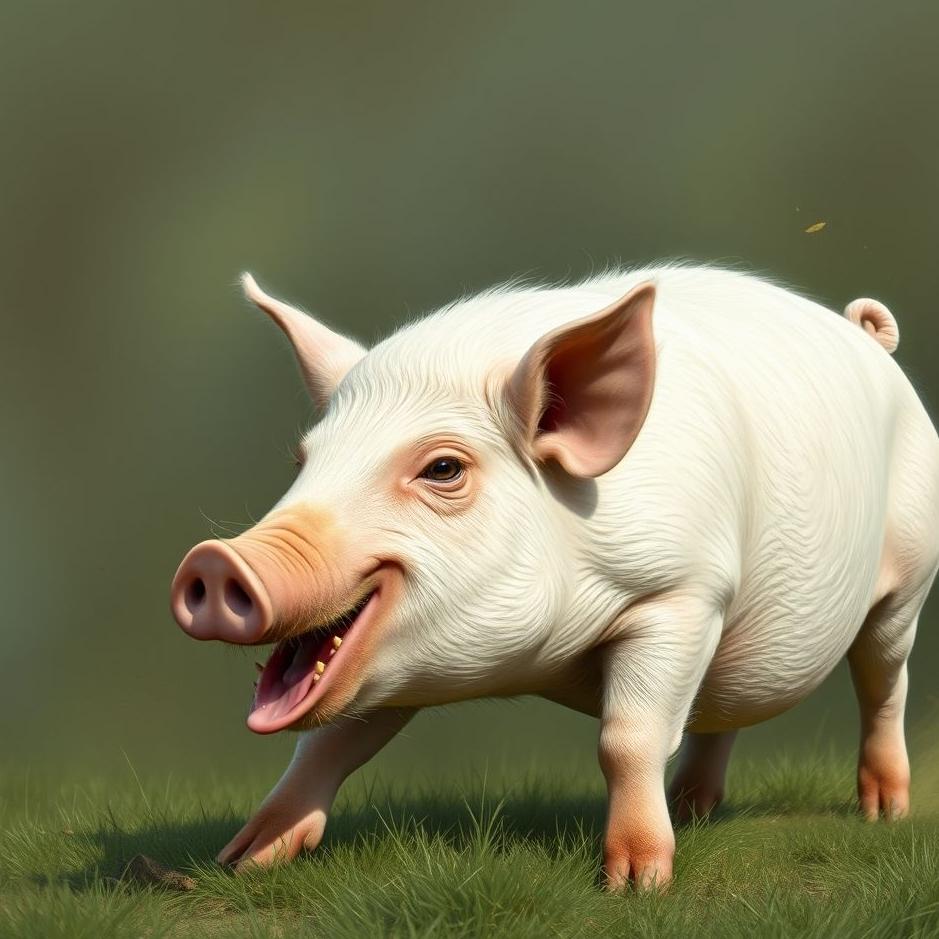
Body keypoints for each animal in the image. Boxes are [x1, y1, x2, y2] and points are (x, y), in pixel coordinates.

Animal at [170, 265, 939, 889]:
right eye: (305, 461)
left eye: (442, 468)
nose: (214, 560)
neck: (537, 663)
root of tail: (867, 337)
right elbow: (329, 742)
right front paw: (241, 860)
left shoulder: (680, 592)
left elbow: (627, 737)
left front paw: (636, 884)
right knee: (717, 710)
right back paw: (692, 808)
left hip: (907, 575)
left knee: (883, 680)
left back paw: (882, 813)